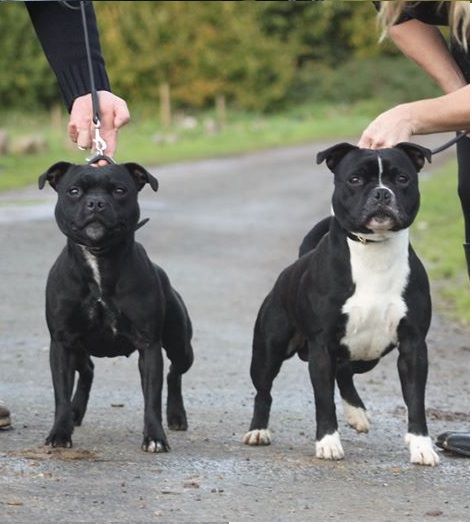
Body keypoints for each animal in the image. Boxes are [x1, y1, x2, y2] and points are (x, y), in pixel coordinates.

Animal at [38, 162, 193, 452]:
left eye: (120, 190)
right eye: (74, 191)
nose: (96, 203)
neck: (99, 260)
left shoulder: (149, 345)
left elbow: (152, 397)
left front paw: (155, 437)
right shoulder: (63, 343)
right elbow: (60, 394)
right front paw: (60, 433)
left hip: (181, 346)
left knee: (174, 373)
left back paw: (176, 415)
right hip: (78, 349)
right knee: (87, 370)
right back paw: (76, 412)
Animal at [245, 141, 440, 464]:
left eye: (402, 179)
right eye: (355, 179)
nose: (382, 193)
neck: (373, 251)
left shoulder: (413, 346)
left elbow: (415, 400)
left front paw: (422, 446)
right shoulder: (322, 346)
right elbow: (323, 399)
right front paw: (327, 442)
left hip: (367, 355)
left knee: (345, 371)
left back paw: (357, 413)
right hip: (268, 351)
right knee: (264, 390)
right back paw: (258, 430)